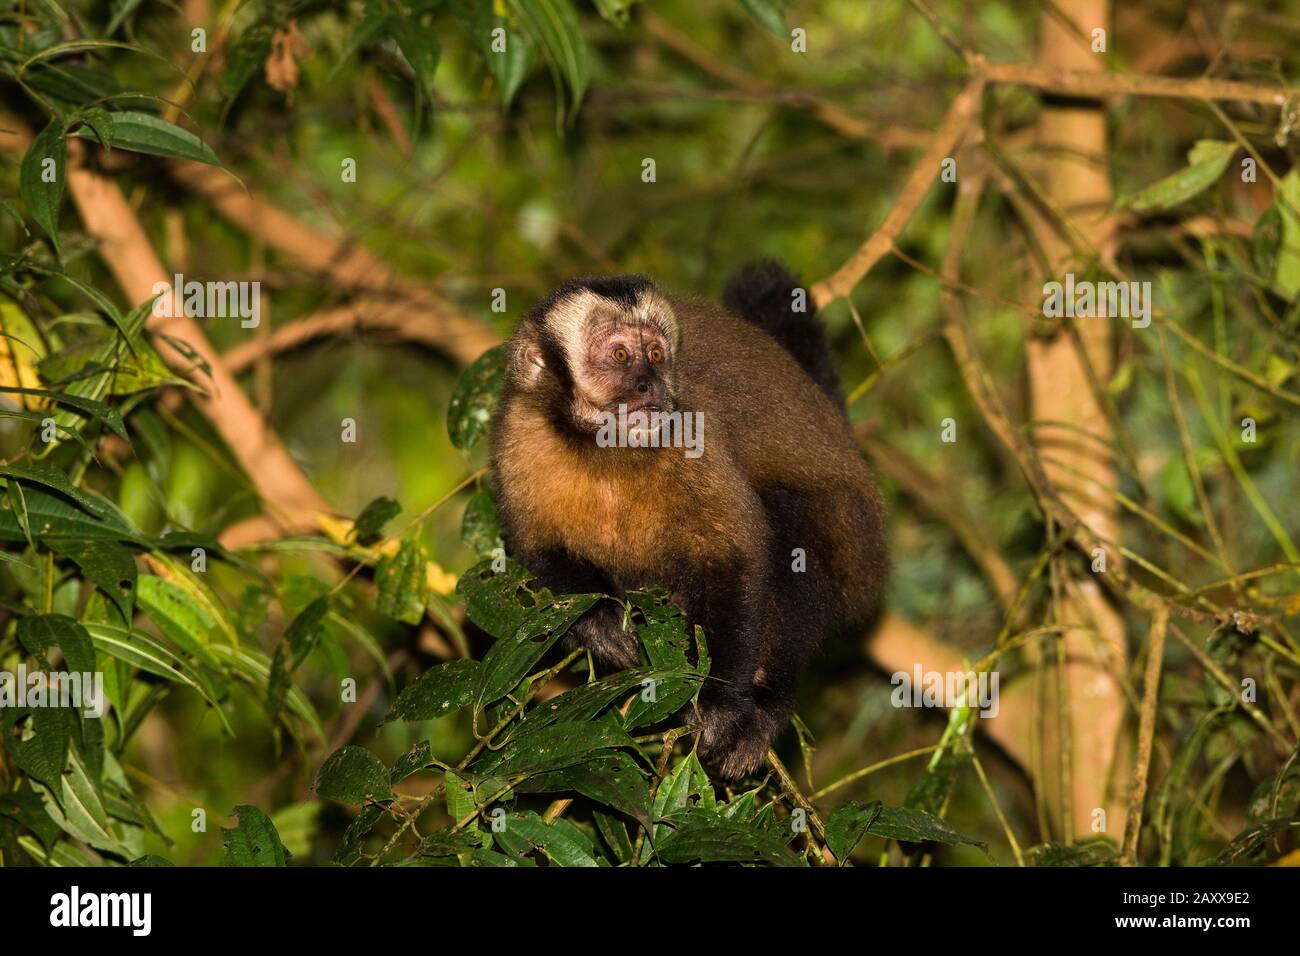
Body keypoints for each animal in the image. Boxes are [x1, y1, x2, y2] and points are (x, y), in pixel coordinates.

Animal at [491, 260, 889, 780]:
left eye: (657, 355)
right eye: (620, 354)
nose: (651, 386)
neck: (604, 448)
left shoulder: (687, 425)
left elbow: (735, 556)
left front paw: (719, 706)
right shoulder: (520, 429)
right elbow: (535, 547)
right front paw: (601, 625)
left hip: (855, 542)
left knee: (792, 523)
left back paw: (766, 704)